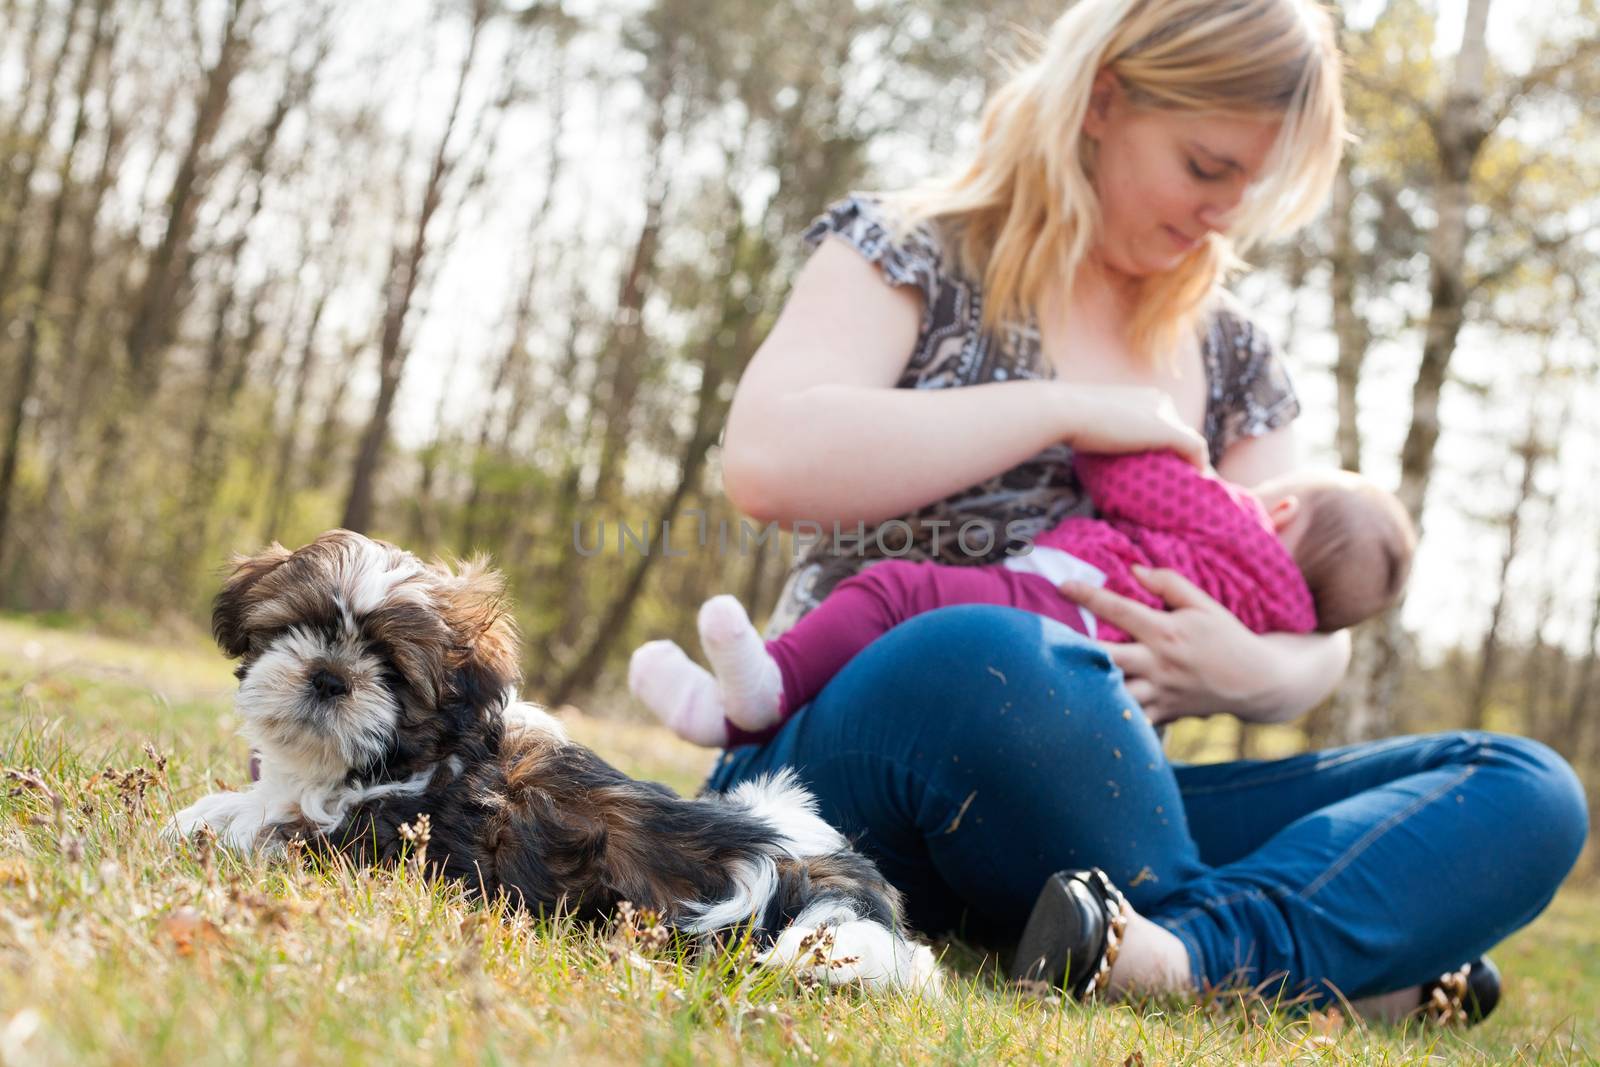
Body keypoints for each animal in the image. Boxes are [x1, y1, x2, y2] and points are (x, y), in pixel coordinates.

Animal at [170, 531, 934, 991]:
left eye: (389, 665)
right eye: (299, 627)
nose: (330, 676)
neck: (418, 751)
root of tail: (815, 867)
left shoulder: (370, 836)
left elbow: (272, 822)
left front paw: (200, 820)